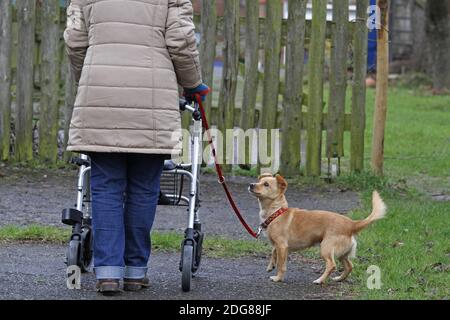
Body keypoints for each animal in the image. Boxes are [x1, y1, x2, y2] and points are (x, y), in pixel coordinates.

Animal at [248, 174, 384, 284]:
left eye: (266, 184)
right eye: (259, 181)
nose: (251, 185)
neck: (276, 212)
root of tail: (351, 224)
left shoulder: (282, 246)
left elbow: (281, 265)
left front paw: (278, 278)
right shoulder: (278, 245)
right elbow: (273, 252)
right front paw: (271, 266)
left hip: (326, 248)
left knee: (332, 265)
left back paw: (320, 280)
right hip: (342, 253)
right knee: (349, 266)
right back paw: (339, 278)